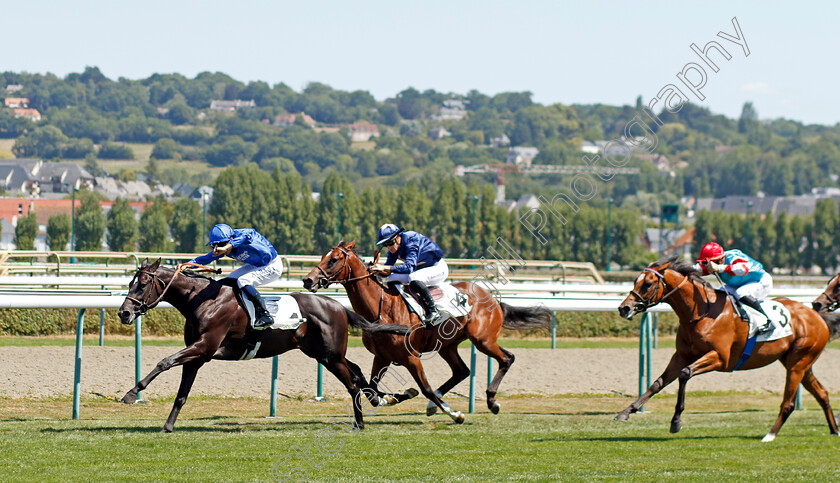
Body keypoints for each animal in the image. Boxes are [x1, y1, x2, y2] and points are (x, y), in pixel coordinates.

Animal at [302, 241, 552, 424]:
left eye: (334, 259)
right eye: (323, 256)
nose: (308, 280)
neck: (382, 308)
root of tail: (492, 297)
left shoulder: (411, 357)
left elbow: (426, 388)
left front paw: (456, 414)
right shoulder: (382, 356)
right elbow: (372, 390)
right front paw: (392, 399)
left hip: (483, 340)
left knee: (507, 358)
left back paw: (492, 401)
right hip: (448, 345)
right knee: (462, 371)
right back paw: (437, 405)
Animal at [612, 258, 836, 442]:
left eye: (648, 284)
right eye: (635, 281)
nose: (624, 308)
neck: (702, 312)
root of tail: (816, 315)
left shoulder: (720, 358)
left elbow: (684, 374)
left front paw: (676, 421)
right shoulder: (682, 355)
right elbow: (658, 383)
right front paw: (626, 411)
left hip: (798, 363)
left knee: (788, 403)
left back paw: (770, 435)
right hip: (799, 363)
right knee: (822, 393)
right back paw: (834, 430)